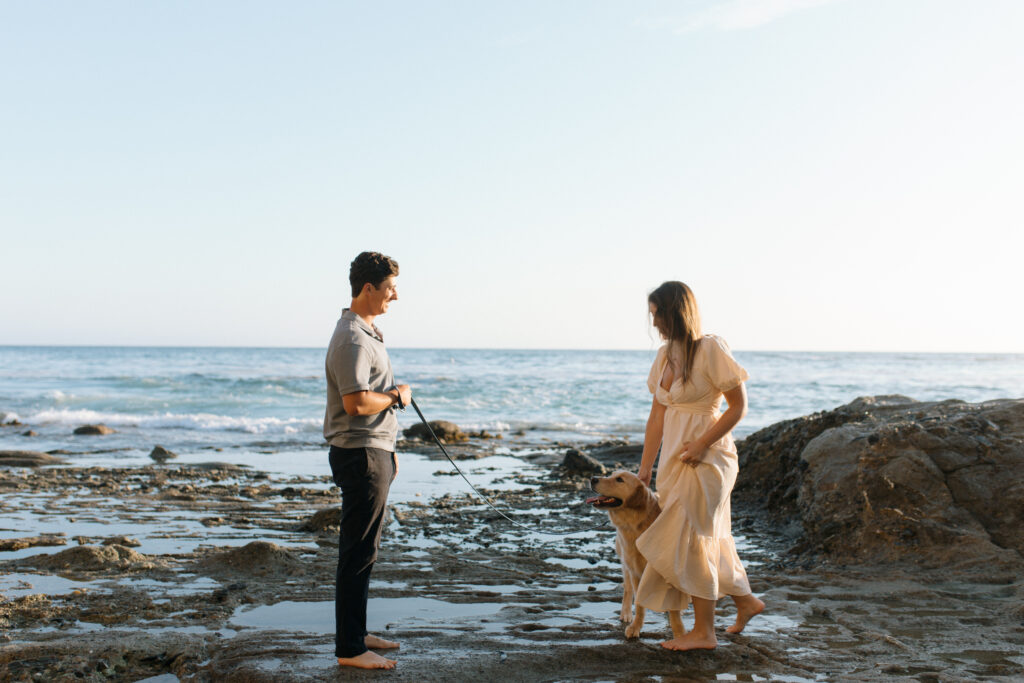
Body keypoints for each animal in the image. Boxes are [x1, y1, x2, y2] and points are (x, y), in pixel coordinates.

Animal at [589, 471, 684, 643]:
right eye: (611, 475)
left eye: (619, 479)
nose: (592, 479)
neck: (637, 524)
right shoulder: (636, 571)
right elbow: (639, 603)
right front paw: (635, 627)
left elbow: (674, 610)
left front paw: (679, 634)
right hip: (626, 565)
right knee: (627, 590)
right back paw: (626, 613)